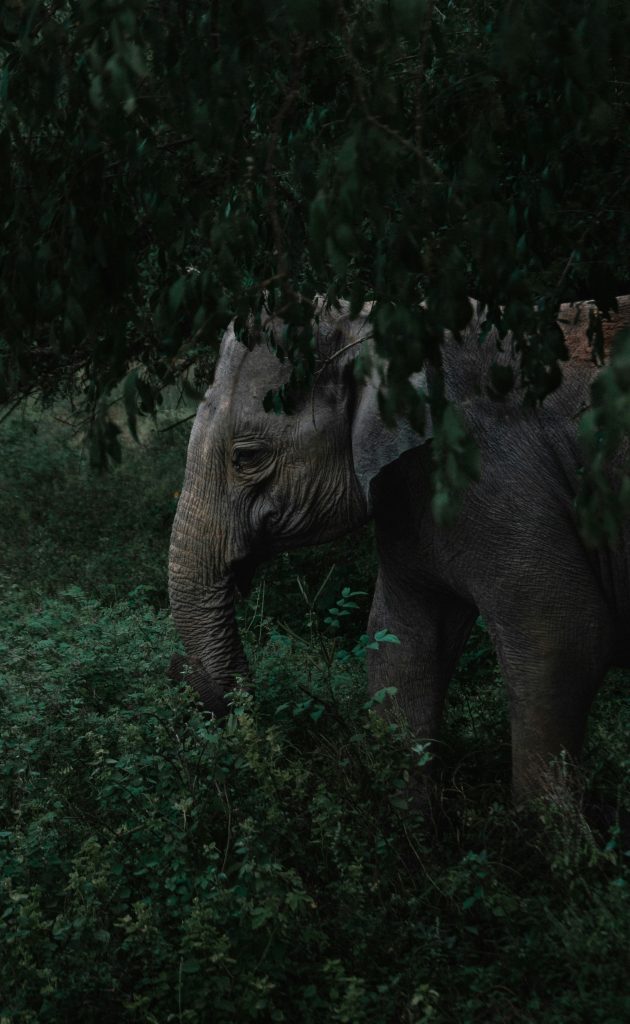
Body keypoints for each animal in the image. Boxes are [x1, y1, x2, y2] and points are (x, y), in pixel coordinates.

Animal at [169, 296, 630, 800]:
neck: (372, 321)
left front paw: (545, 823)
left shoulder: (497, 474)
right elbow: (401, 645)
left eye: (246, 457)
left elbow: (564, 643)